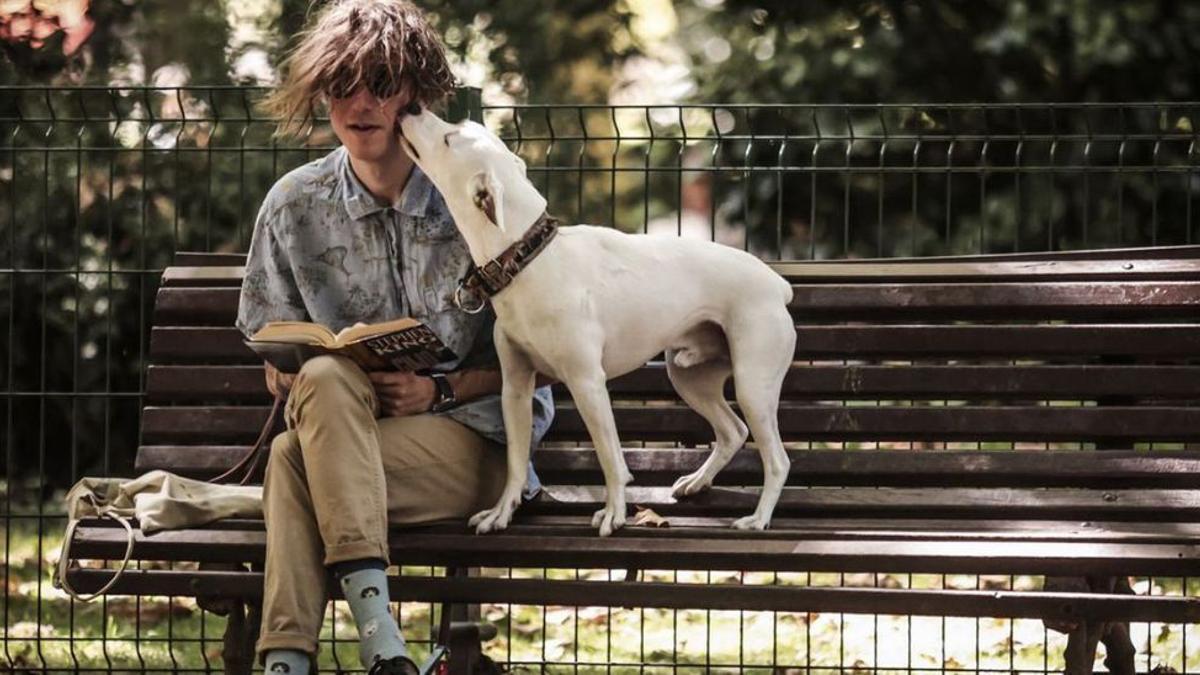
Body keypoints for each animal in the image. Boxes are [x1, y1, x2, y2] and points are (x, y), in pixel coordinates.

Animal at [400, 107, 796, 533]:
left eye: (449, 139)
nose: (411, 108)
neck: (528, 258)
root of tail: (778, 284)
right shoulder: (515, 388)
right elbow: (516, 462)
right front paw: (502, 512)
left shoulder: (587, 383)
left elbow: (609, 458)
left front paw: (614, 513)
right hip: (689, 378)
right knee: (732, 431)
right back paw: (697, 482)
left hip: (752, 386)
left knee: (777, 459)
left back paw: (758, 518)